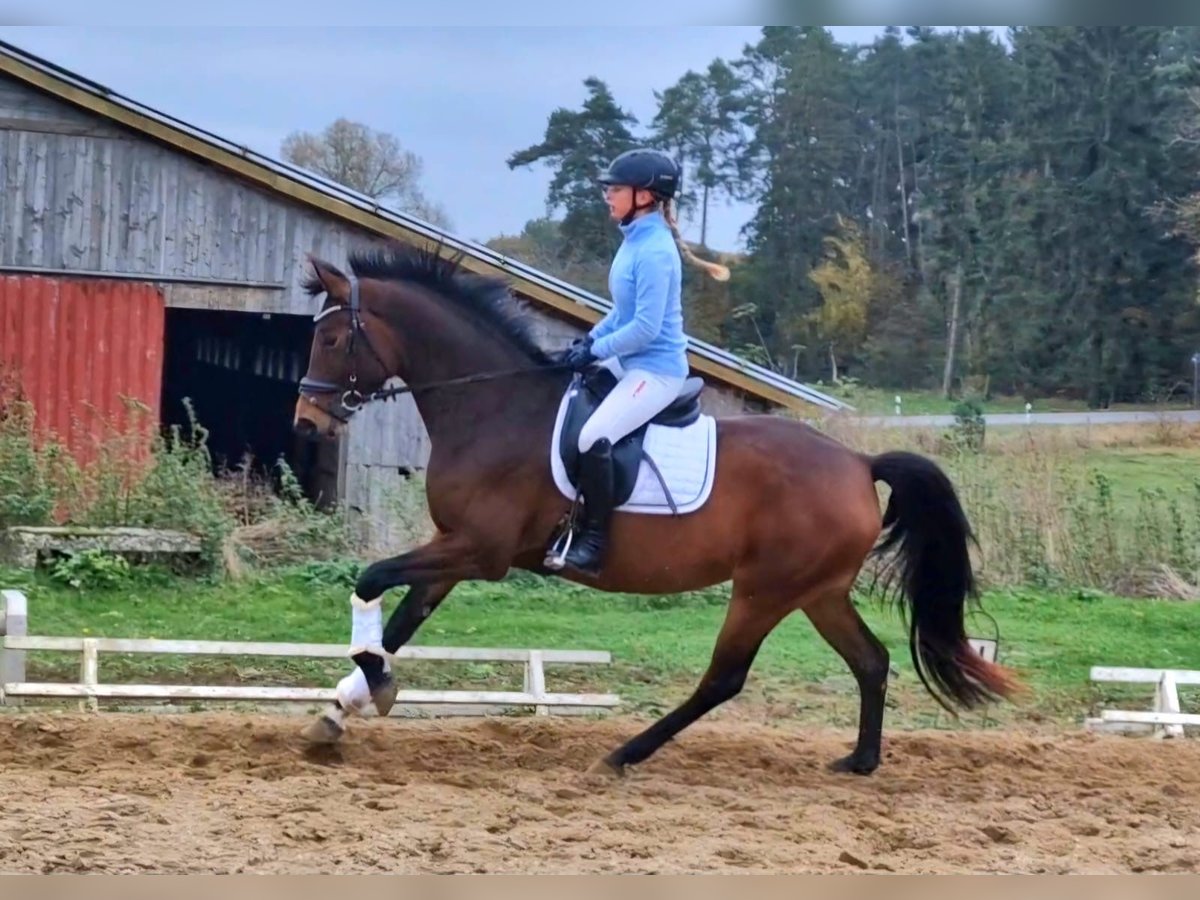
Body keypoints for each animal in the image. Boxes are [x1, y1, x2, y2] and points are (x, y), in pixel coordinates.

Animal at [295, 243, 1017, 777]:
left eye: (330, 339)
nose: (306, 423)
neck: (493, 408)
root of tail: (859, 463)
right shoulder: (454, 546)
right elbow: (400, 620)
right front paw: (339, 710)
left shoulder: (481, 551)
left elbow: (371, 581)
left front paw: (370, 688)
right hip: (818, 590)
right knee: (870, 660)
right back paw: (860, 762)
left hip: (764, 589)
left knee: (725, 678)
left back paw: (623, 755)